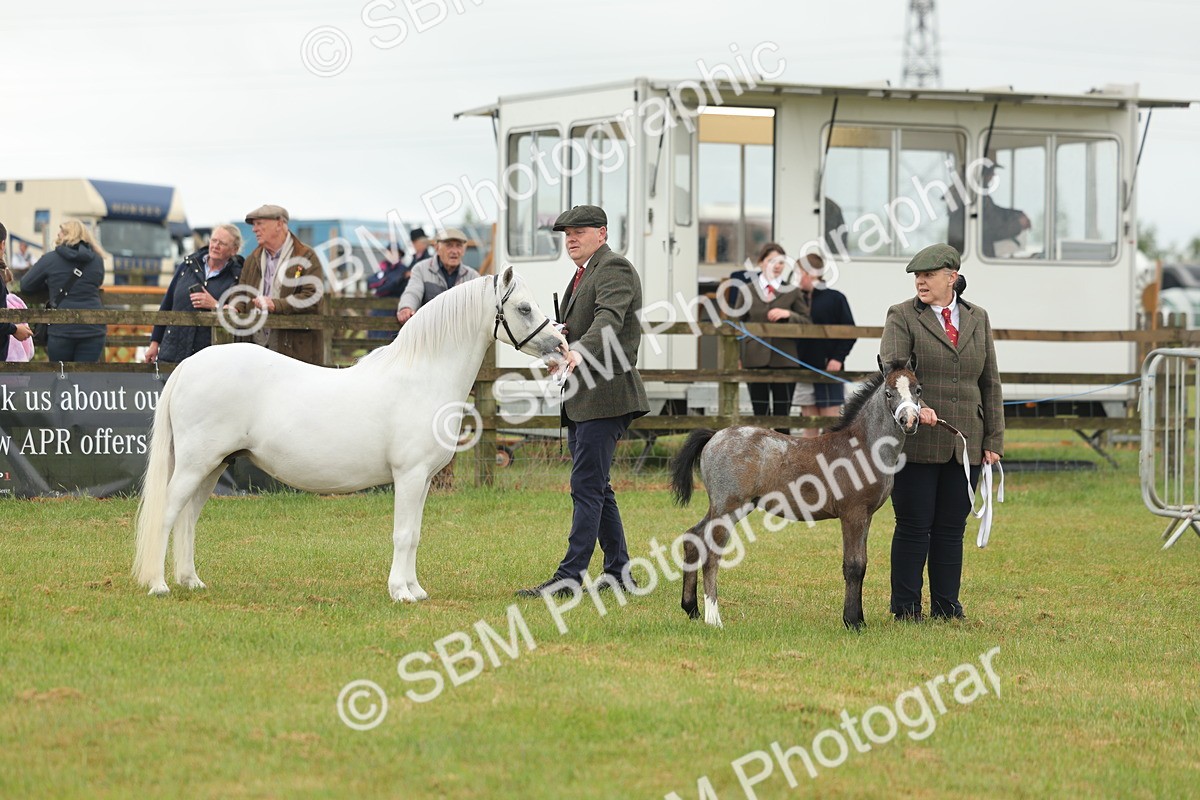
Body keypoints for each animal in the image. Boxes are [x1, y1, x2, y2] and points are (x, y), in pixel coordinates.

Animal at [133, 267, 567, 600]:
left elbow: (415, 534)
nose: (560, 346)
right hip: (195, 464)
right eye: (524, 307)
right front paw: (400, 592)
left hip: (213, 465)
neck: (422, 376)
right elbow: (403, 533)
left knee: (189, 518)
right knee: (169, 514)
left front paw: (415, 589)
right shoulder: (409, 476)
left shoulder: (424, 480)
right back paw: (159, 586)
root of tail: (188, 366)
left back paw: (191, 581)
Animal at [668, 357, 922, 629]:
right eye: (889, 393)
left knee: (693, 538)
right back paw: (713, 618)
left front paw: (859, 620)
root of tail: (714, 435)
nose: (909, 421)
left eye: (918, 390)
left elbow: (862, 564)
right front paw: (852, 621)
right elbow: (853, 566)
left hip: (726, 507)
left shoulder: (867, 515)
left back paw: (692, 609)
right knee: (712, 555)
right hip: (728, 507)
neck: (863, 447)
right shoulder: (852, 514)